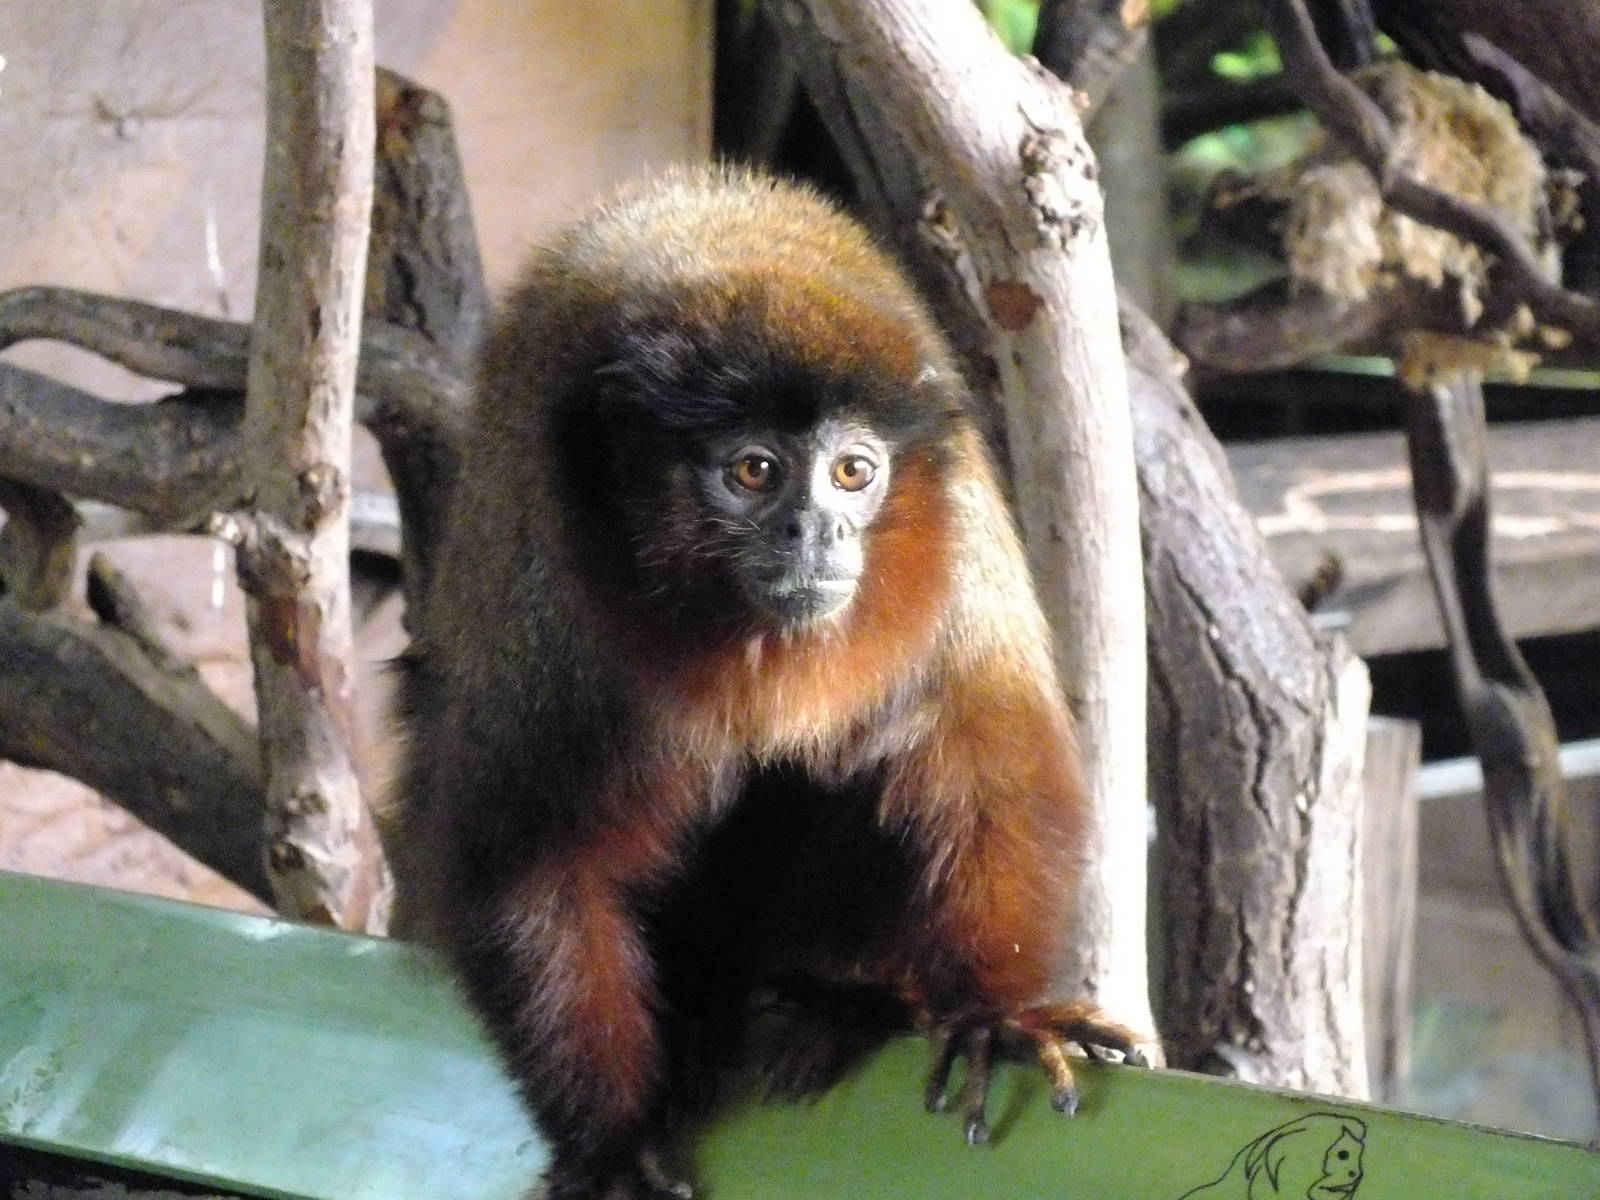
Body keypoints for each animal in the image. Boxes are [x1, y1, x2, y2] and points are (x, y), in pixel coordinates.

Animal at [391, 164, 1144, 1200]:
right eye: (754, 472)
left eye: (853, 473)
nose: (813, 532)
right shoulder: (548, 577)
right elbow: (536, 855)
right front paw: (609, 1143)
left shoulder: (953, 535)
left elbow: (985, 758)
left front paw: (994, 1010)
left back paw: (844, 995)